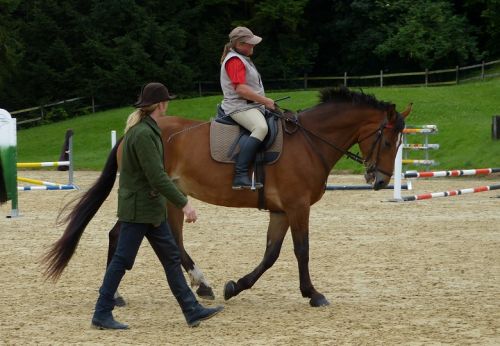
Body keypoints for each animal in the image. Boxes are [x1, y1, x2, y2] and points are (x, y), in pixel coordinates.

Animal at [43, 87, 410, 308]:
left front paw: (236, 286)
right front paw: (313, 294)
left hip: (170, 196)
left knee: (168, 239)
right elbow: (301, 250)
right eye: (387, 141)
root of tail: (136, 130)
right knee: (121, 234)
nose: (380, 180)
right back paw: (117, 294)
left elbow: (271, 253)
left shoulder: (281, 210)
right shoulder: (297, 206)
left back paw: (201, 284)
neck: (309, 141)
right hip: (156, 192)